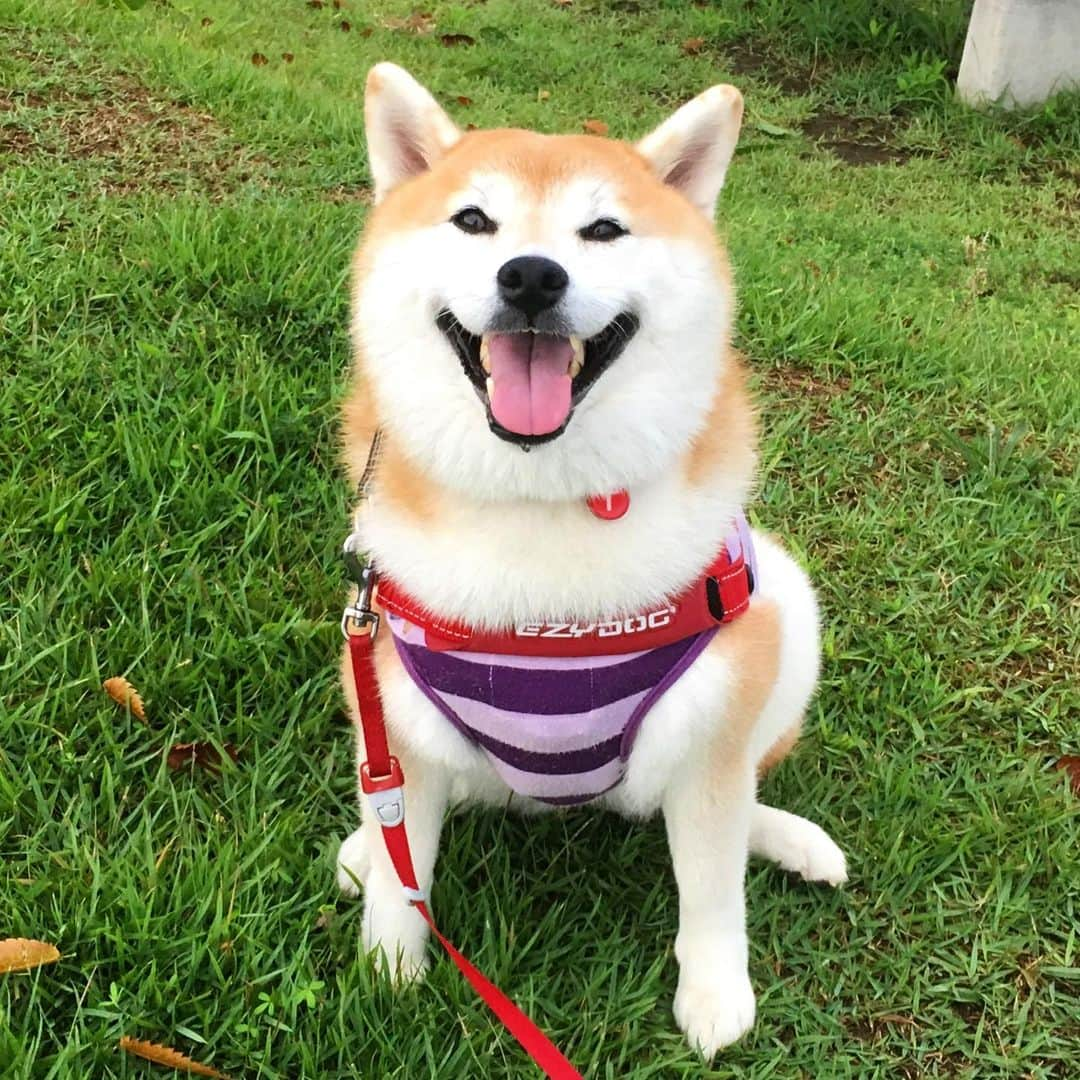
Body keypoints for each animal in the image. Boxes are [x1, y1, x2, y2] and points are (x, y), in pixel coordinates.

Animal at [332, 65, 846, 1054]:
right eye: (473, 220)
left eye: (603, 230)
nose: (532, 274)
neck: (542, 500)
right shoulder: (393, 707)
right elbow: (404, 876)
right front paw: (387, 972)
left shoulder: (717, 716)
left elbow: (713, 888)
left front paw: (715, 994)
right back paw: (362, 849)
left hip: (784, 606)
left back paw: (785, 837)